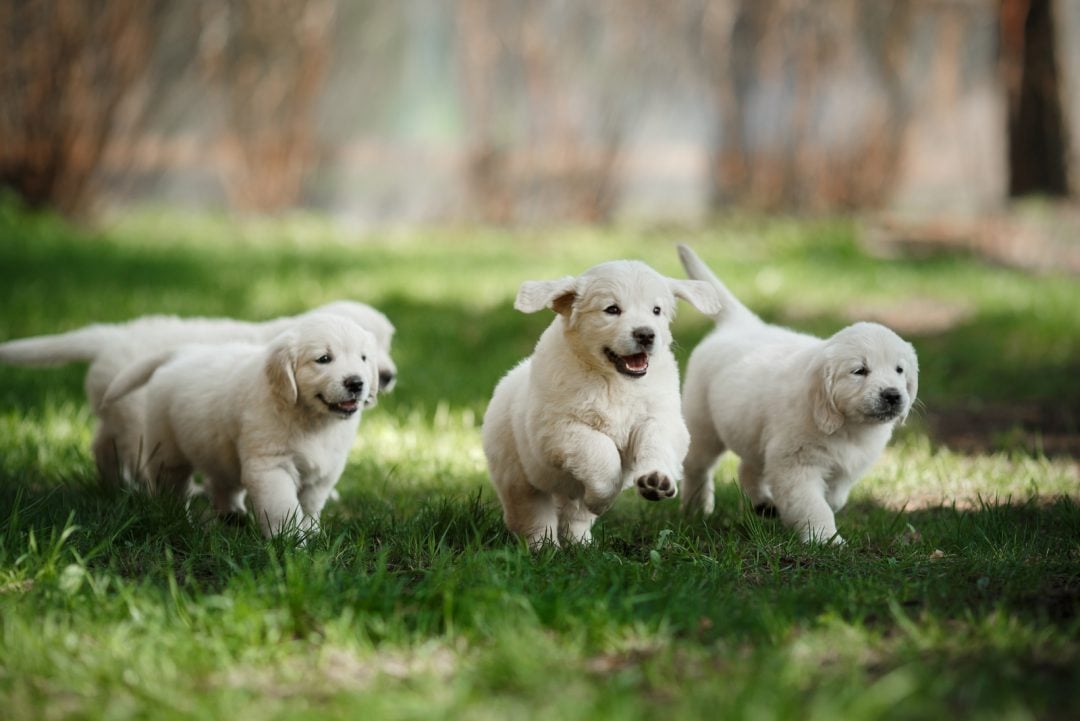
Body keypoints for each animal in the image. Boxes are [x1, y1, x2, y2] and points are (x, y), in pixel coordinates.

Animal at [102, 313, 380, 537]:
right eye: (323, 359)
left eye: (364, 358)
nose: (356, 383)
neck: (312, 420)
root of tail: (182, 353)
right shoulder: (270, 466)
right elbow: (284, 507)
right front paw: (290, 543)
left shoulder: (326, 471)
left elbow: (310, 505)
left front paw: (312, 533)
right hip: (167, 449)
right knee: (171, 486)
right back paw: (176, 517)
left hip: (218, 449)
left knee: (222, 483)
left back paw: (232, 516)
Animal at [483, 259, 721, 546]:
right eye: (612, 310)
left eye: (656, 310)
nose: (645, 334)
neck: (613, 380)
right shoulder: (558, 429)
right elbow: (600, 451)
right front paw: (603, 499)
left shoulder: (659, 417)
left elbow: (657, 443)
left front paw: (656, 480)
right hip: (518, 476)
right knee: (533, 516)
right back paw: (545, 547)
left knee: (574, 517)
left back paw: (582, 544)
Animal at [678, 245, 915, 543]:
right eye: (859, 371)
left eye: (899, 370)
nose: (893, 395)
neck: (848, 427)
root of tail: (742, 324)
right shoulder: (796, 464)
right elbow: (814, 505)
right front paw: (826, 540)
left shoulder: (845, 468)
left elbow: (835, 497)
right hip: (703, 425)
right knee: (696, 467)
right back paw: (695, 508)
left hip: (752, 431)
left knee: (748, 468)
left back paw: (763, 504)